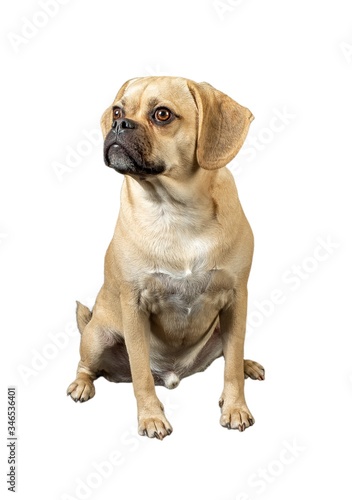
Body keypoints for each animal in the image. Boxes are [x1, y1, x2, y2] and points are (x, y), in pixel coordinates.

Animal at [66, 76, 264, 440]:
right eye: (118, 111)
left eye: (162, 114)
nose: (118, 124)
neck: (174, 211)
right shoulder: (134, 306)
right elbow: (141, 374)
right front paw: (151, 417)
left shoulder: (236, 300)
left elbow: (231, 365)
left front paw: (235, 407)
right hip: (97, 337)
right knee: (88, 366)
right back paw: (82, 385)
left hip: (222, 327)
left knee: (233, 355)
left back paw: (247, 365)